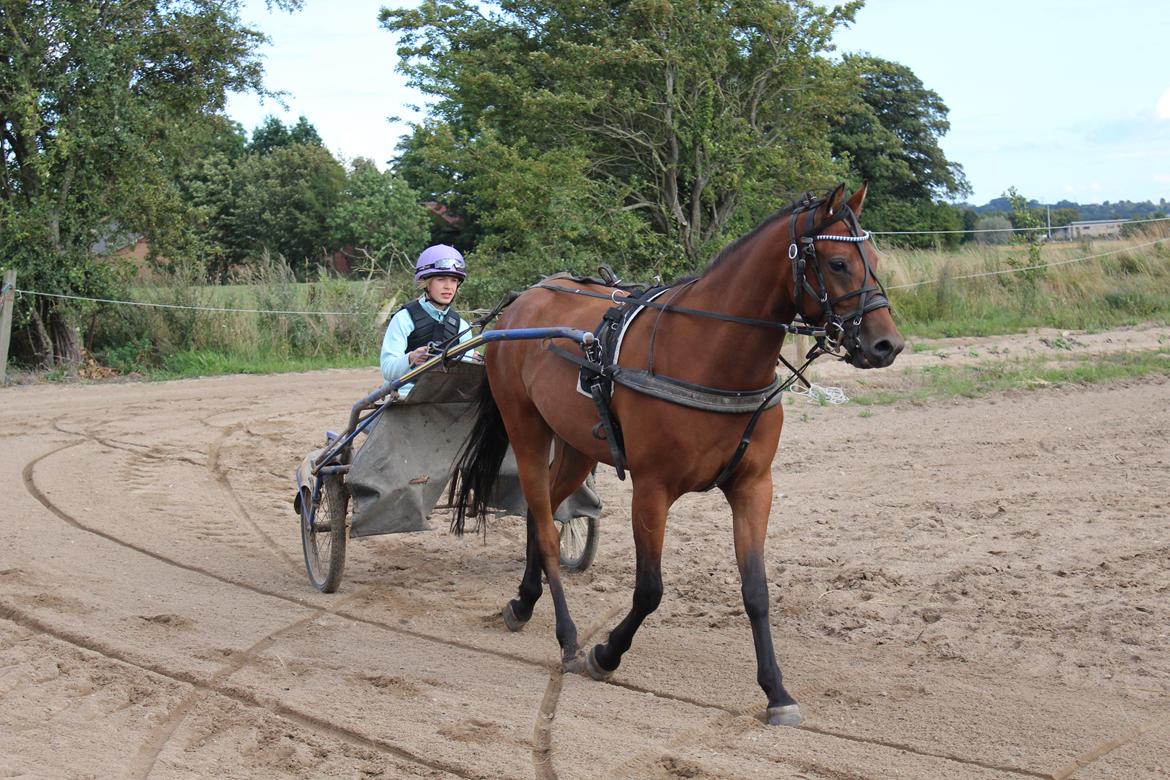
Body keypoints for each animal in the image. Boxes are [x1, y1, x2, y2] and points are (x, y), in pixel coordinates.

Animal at [451, 183, 898, 725]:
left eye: (874, 259)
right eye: (837, 263)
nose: (887, 344)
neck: (710, 354)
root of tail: (526, 299)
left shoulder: (754, 487)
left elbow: (756, 591)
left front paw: (776, 691)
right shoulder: (652, 488)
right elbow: (650, 589)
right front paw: (607, 654)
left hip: (577, 447)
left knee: (547, 519)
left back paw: (523, 602)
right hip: (527, 430)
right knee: (544, 525)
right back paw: (569, 637)